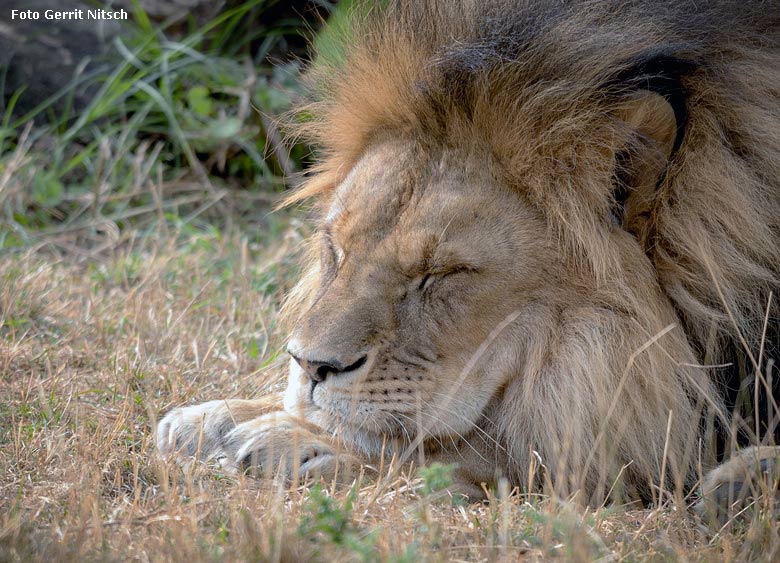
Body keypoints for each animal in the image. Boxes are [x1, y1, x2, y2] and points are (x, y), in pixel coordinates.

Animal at [155, 0, 780, 512]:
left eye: (441, 274)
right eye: (337, 249)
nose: (310, 366)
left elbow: (505, 448)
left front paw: (298, 443)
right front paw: (217, 416)